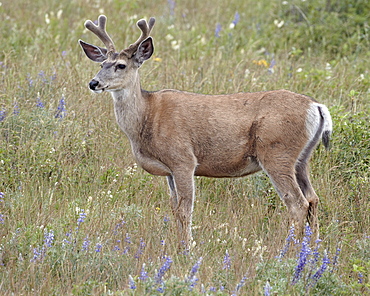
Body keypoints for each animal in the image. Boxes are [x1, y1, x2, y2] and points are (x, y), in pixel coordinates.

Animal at [80, 15, 332, 247]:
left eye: (121, 65)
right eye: (101, 64)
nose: (93, 83)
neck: (147, 117)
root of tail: (317, 106)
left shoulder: (183, 159)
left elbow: (185, 210)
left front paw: (187, 249)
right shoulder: (170, 170)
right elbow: (174, 209)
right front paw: (178, 244)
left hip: (277, 152)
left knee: (298, 203)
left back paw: (290, 249)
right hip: (301, 159)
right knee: (313, 199)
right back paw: (312, 247)